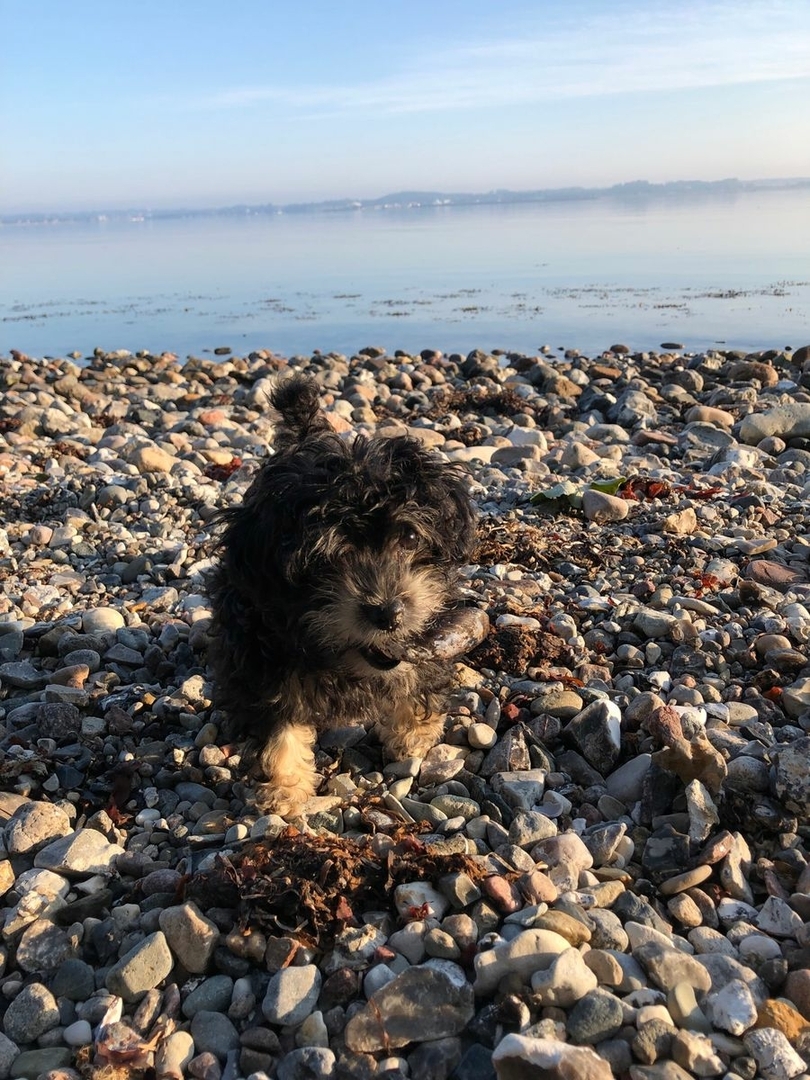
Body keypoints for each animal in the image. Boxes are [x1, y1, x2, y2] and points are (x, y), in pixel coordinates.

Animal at [208, 373, 477, 816]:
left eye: (408, 537)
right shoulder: (262, 654)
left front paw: (415, 732)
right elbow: (280, 721)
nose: (388, 614)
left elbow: (418, 674)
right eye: (323, 559)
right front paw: (286, 789)